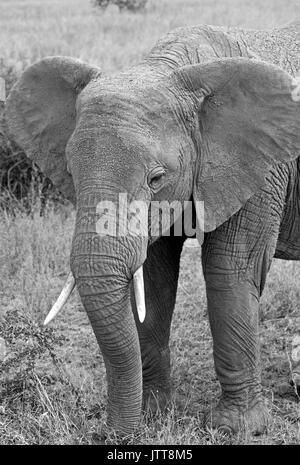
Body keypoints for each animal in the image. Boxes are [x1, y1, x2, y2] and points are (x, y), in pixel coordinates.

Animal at [5, 20, 300, 436]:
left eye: (157, 178)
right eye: (71, 175)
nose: (111, 433)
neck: (170, 68)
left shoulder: (264, 168)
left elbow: (230, 271)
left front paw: (238, 428)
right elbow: (154, 279)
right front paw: (152, 414)